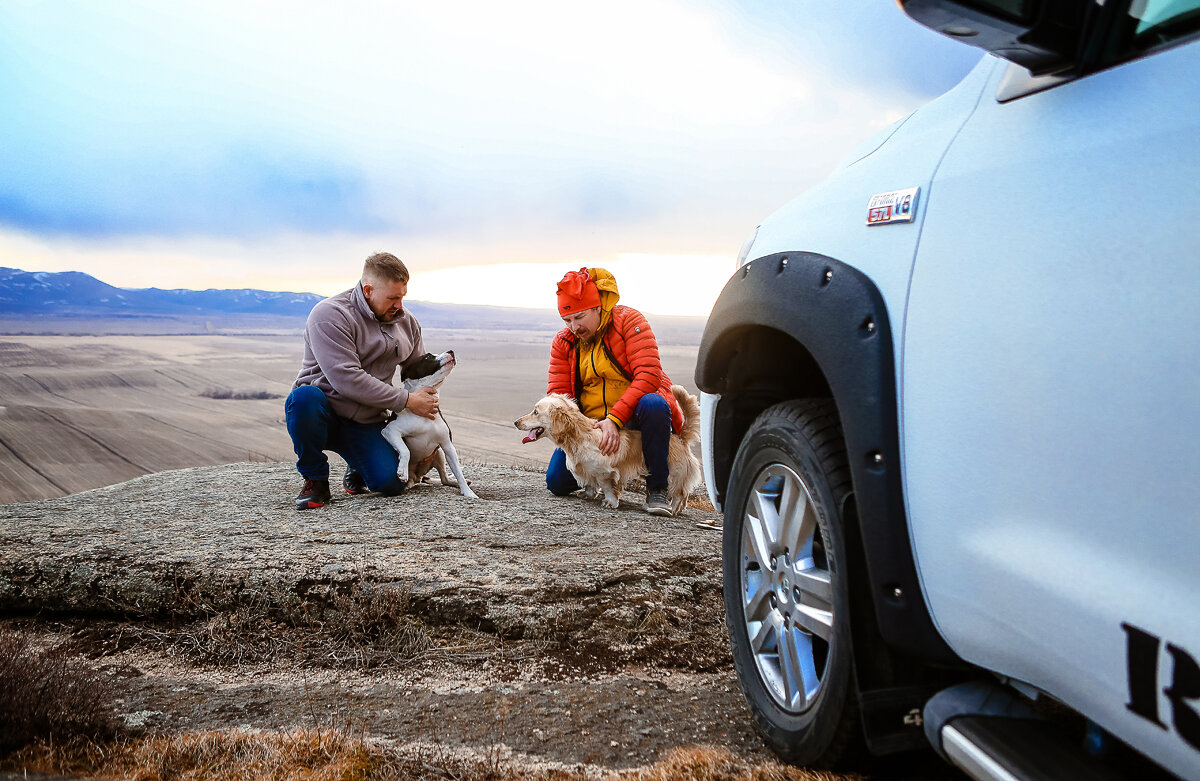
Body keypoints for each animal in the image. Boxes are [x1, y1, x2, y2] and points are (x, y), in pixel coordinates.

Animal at [381, 350, 480, 501]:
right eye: (427, 356)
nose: (451, 351)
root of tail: (418, 476)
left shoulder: (447, 446)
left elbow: (458, 472)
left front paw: (468, 492)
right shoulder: (390, 430)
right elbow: (405, 450)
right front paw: (402, 471)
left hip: (439, 453)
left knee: (444, 479)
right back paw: (407, 482)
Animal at [511, 383, 700, 515]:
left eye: (536, 412)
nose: (515, 422)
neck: (579, 436)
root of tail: (681, 438)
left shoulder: (606, 473)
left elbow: (609, 488)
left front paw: (609, 502)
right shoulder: (587, 471)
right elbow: (590, 484)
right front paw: (587, 494)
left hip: (674, 474)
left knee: (679, 494)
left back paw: (671, 508)